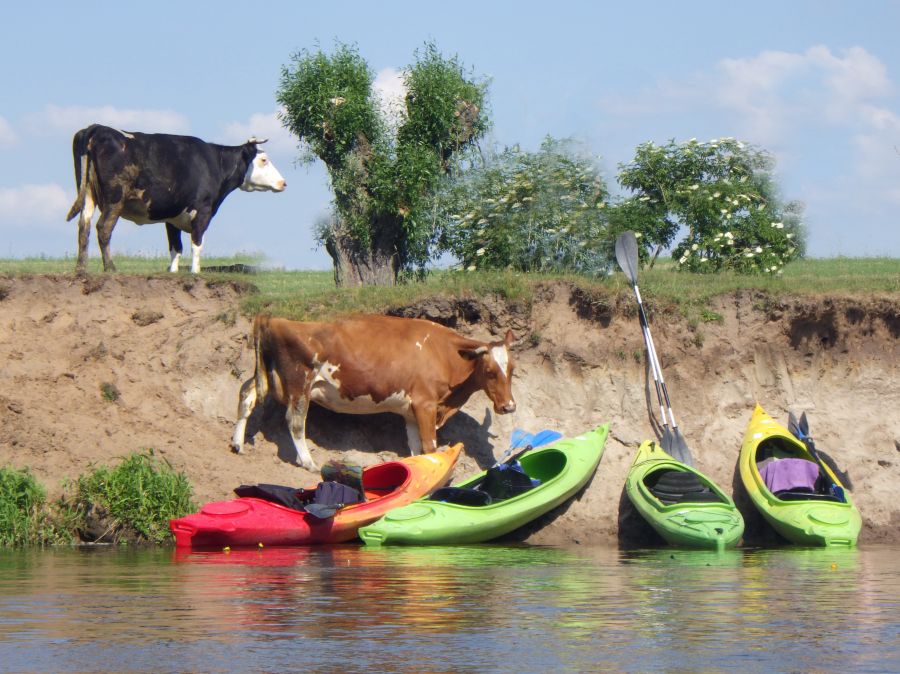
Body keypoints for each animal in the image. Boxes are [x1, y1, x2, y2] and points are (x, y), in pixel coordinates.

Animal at [67, 123, 284, 272]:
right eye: (264, 160)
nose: (283, 182)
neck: (215, 163)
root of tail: (97, 128)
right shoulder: (203, 211)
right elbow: (197, 244)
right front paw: (195, 272)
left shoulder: (172, 216)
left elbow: (175, 247)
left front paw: (173, 272)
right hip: (115, 199)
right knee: (103, 228)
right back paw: (110, 268)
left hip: (88, 195)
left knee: (83, 227)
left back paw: (81, 268)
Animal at [229, 314, 516, 468]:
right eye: (490, 371)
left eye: (512, 369)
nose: (509, 407)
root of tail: (274, 319)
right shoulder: (425, 404)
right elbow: (430, 446)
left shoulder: (411, 411)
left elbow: (415, 447)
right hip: (300, 383)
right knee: (295, 421)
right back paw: (308, 461)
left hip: (268, 376)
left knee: (246, 394)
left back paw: (238, 443)